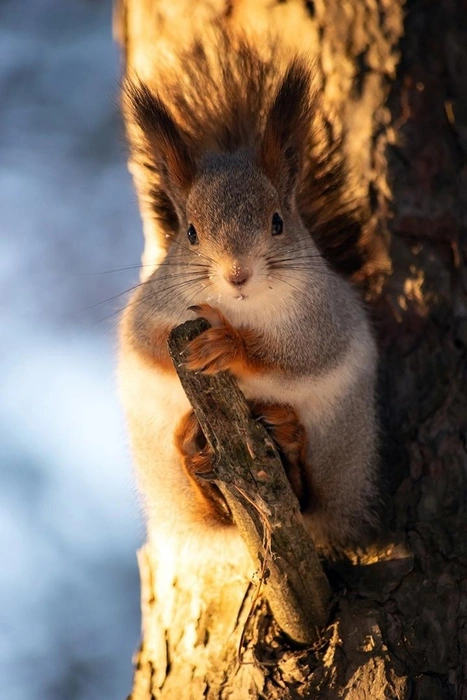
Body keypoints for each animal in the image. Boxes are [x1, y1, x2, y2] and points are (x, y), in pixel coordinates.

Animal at [118, 30, 380, 560]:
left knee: (309, 495)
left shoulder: (324, 319)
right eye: (191, 233)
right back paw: (192, 450)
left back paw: (288, 439)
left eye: (278, 222)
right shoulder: (149, 315)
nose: (237, 274)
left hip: (342, 440)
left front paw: (228, 345)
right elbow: (150, 346)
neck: (239, 309)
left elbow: (295, 357)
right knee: (211, 509)